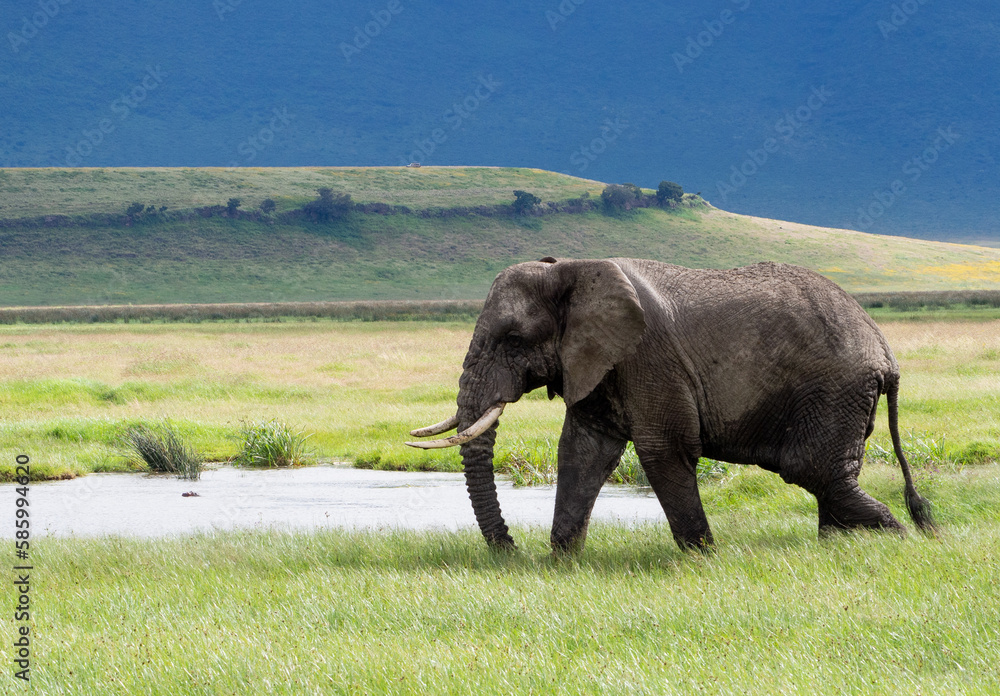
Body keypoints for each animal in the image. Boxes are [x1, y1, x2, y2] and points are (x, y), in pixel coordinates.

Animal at [407, 257, 935, 552]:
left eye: (514, 340)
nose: (510, 550)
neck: (570, 269)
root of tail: (886, 352)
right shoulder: (598, 362)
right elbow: (582, 452)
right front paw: (561, 563)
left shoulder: (647, 356)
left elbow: (663, 450)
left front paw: (702, 560)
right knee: (830, 478)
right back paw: (844, 547)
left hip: (834, 391)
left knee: (814, 471)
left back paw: (897, 542)